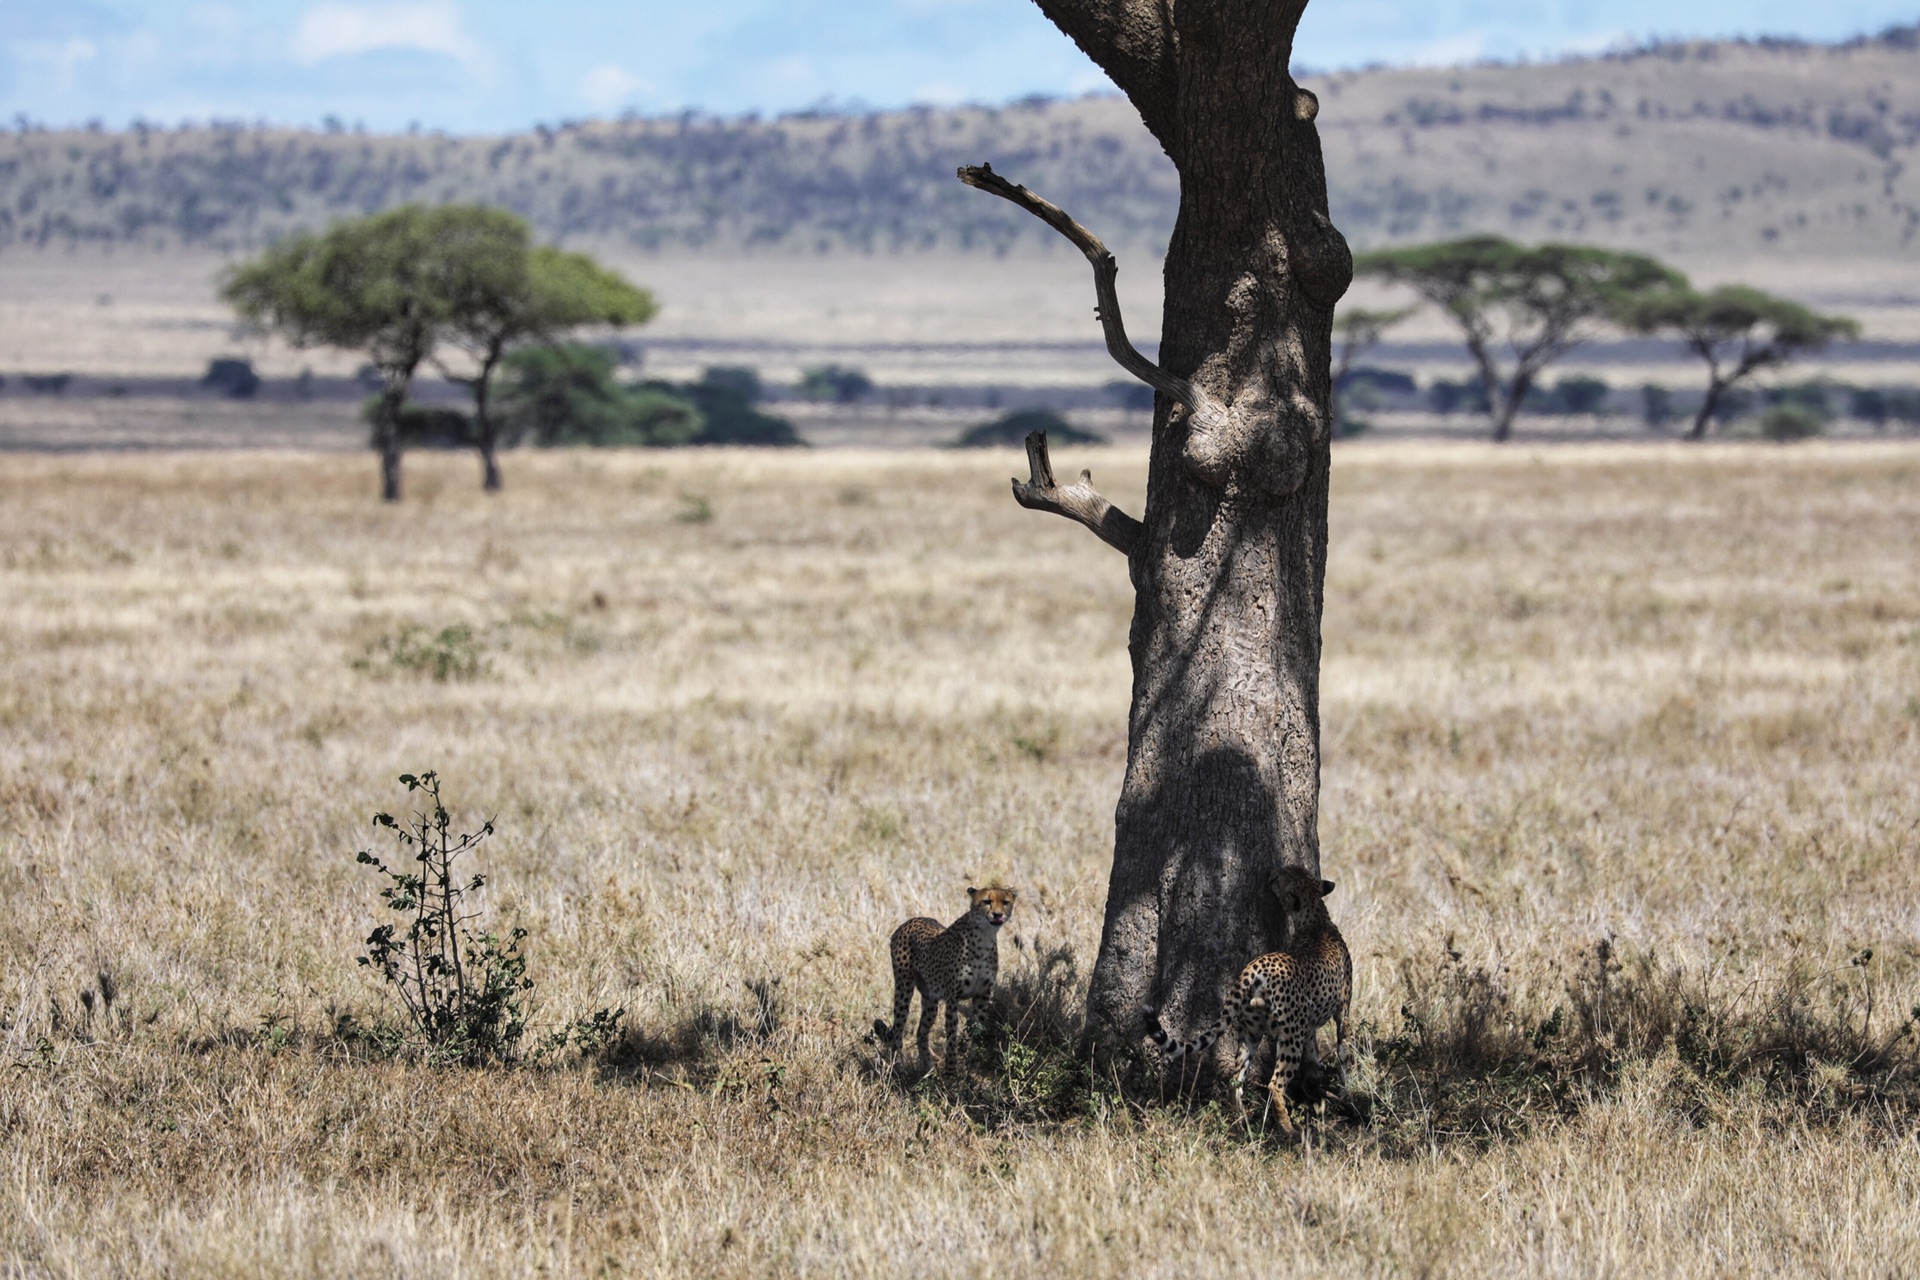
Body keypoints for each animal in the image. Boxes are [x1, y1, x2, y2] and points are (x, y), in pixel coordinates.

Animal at [875, 886, 1021, 1074]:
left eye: (1005, 902)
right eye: (987, 901)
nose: (997, 915)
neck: (984, 936)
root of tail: (911, 920)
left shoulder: (982, 996)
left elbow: (977, 1030)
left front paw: (972, 1065)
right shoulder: (953, 998)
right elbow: (952, 1035)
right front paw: (951, 1071)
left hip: (930, 999)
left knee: (921, 1031)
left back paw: (928, 1068)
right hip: (904, 989)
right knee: (898, 1030)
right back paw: (898, 1066)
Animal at [1136, 871, 1351, 1128]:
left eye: (1283, 876)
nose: (1272, 875)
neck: (1315, 918)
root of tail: (1257, 964)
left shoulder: (1308, 1025)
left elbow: (1314, 1061)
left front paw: (1317, 1090)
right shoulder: (1341, 1013)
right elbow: (1344, 1052)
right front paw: (1347, 1093)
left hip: (1252, 1030)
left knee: (1235, 1080)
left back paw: (1240, 1122)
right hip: (1289, 1036)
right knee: (1274, 1084)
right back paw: (1289, 1130)